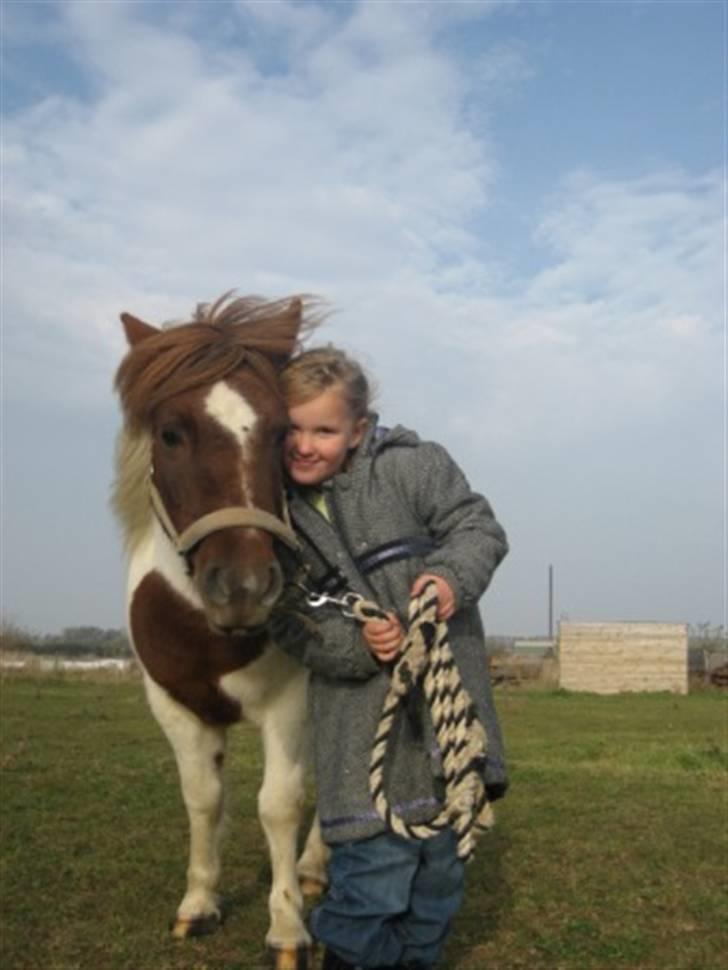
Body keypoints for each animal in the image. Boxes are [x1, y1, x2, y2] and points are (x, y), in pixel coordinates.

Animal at [111, 292, 328, 969]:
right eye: (170, 433)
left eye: (283, 431)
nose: (244, 586)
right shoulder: (176, 705)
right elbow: (203, 798)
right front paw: (199, 902)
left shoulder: (292, 703)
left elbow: (278, 804)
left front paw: (287, 925)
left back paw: (313, 868)